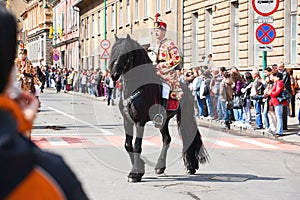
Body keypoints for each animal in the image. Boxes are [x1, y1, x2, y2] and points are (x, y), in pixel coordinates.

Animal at [108, 34, 209, 183]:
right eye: (113, 52)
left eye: (126, 54)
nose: (113, 75)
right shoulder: (128, 121)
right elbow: (128, 145)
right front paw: (138, 168)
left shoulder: (140, 122)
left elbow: (137, 146)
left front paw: (135, 173)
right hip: (164, 121)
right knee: (167, 139)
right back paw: (160, 167)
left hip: (184, 116)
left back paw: (190, 166)